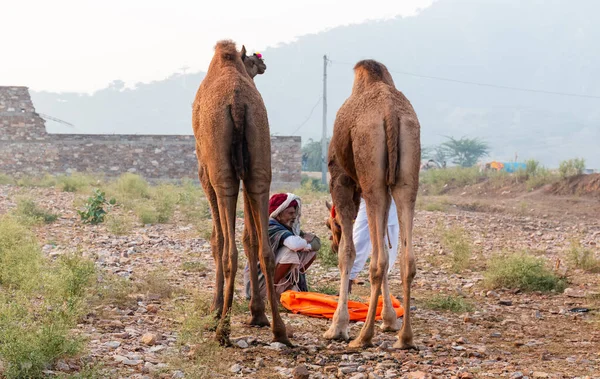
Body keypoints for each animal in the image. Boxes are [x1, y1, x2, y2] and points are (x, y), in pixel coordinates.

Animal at [190, 40, 288, 348]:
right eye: (253, 60)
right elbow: (251, 238)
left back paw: (222, 329)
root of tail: (237, 103)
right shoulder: (247, 168)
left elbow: (218, 239)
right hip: (260, 154)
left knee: (227, 248)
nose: (264, 62)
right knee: (265, 247)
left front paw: (214, 308)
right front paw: (257, 314)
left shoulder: (204, 170)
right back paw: (280, 330)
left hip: (220, 170)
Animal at [324, 58, 422, 350]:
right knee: (405, 259)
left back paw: (363, 337)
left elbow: (348, 252)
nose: (330, 244)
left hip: (371, 179)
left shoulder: (341, 181)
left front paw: (338, 326)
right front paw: (389, 320)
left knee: (378, 261)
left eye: (330, 227)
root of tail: (389, 113)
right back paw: (405, 337)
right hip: (406, 175)